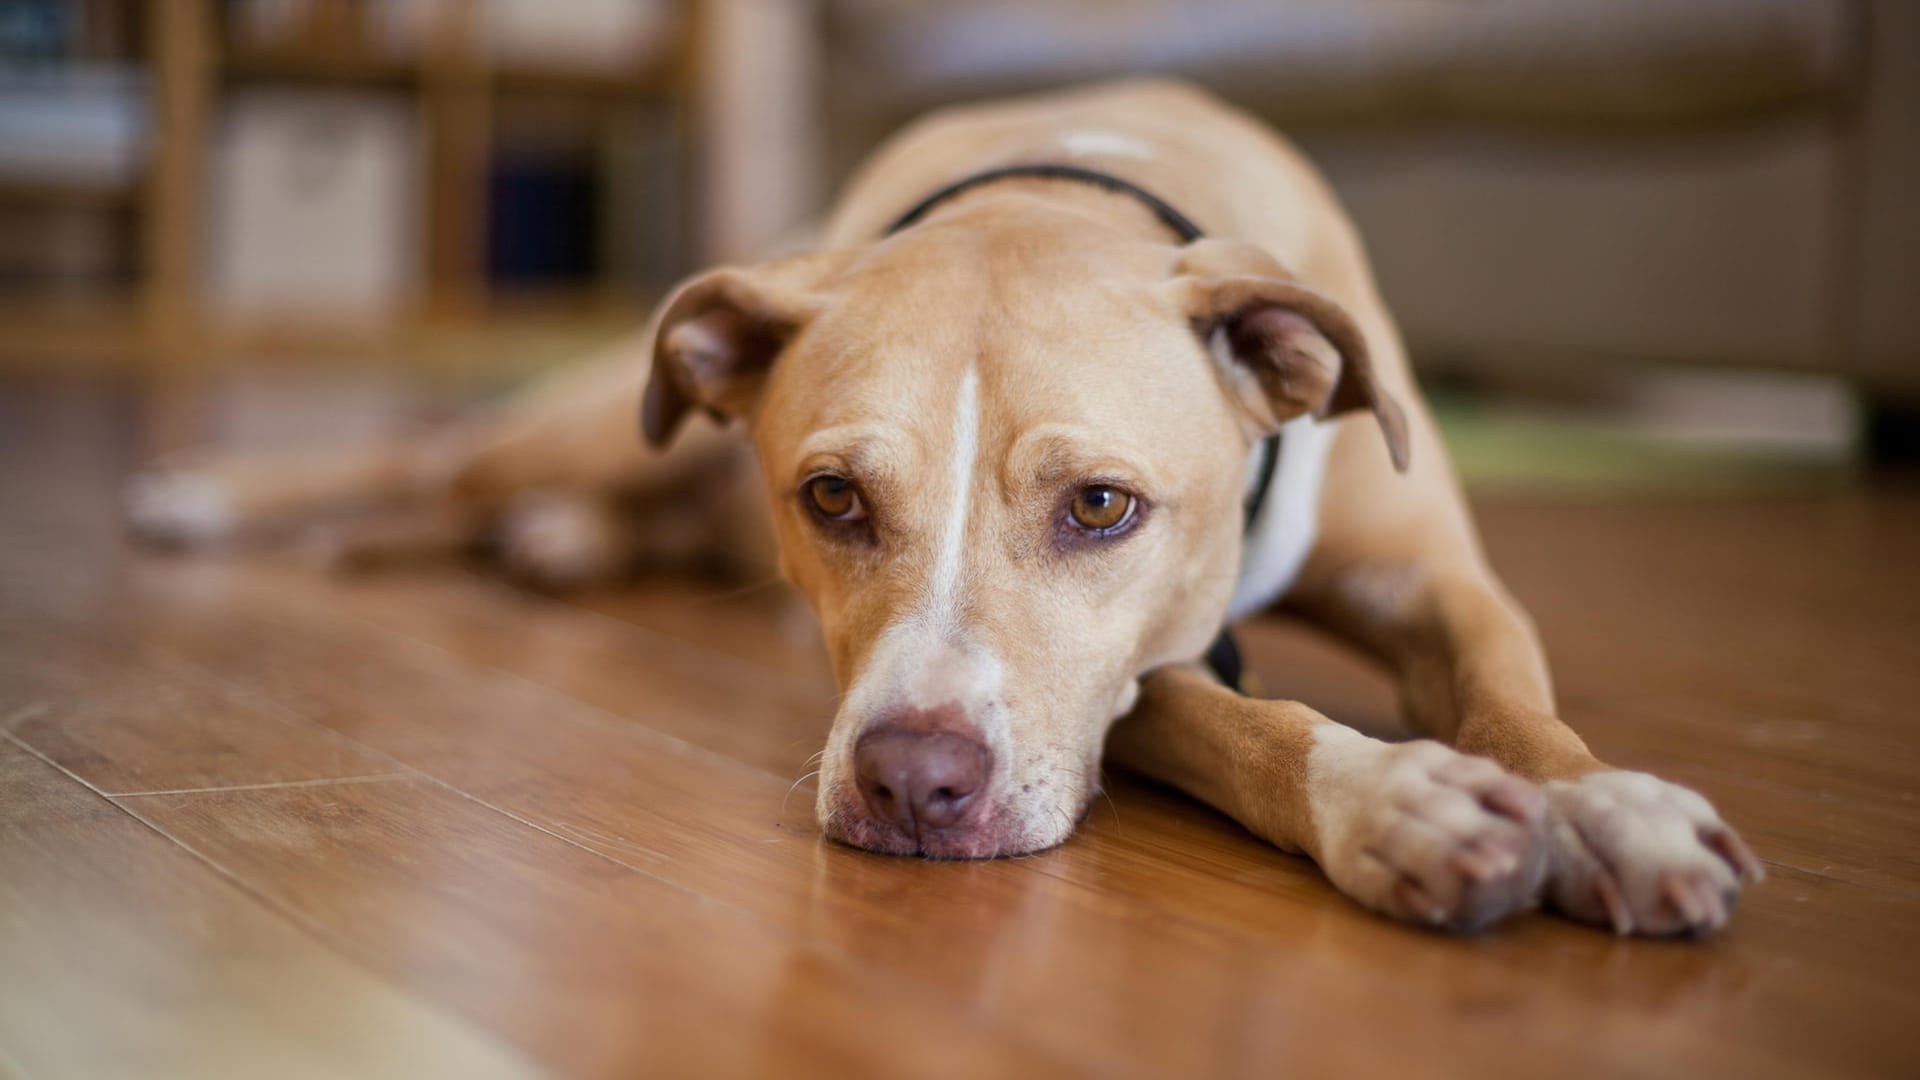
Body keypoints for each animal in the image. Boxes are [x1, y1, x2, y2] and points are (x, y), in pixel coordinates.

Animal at [127, 79, 1758, 930]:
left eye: (1101, 507)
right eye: (833, 496)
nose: (914, 786)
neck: (1063, 186)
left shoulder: (1439, 587)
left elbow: (1519, 704)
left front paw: (1613, 813)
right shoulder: (1133, 683)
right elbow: (1257, 726)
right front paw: (1401, 799)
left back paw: (554, 546)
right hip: (598, 427)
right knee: (435, 460)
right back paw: (212, 493)